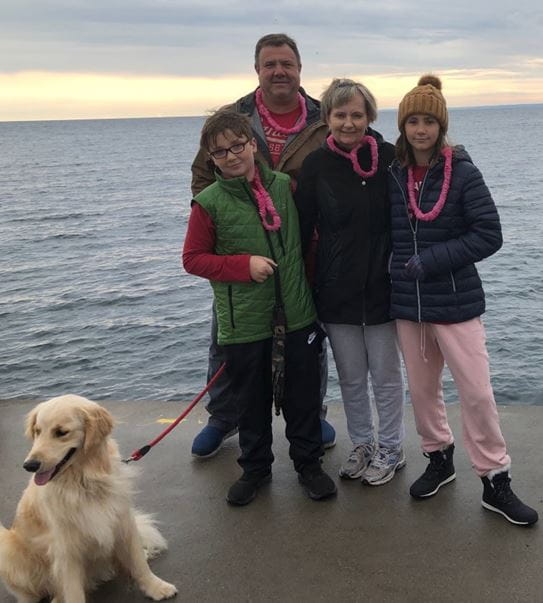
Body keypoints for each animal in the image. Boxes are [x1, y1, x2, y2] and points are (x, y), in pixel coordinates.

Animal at [0, 396, 178, 603]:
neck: (84, 481)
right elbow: (73, 591)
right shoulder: (65, 548)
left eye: (61, 432)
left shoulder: (122, 523)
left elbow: (139, 563)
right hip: (8, 549)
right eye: (37, 431)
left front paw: (156, 587)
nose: (29, 465)